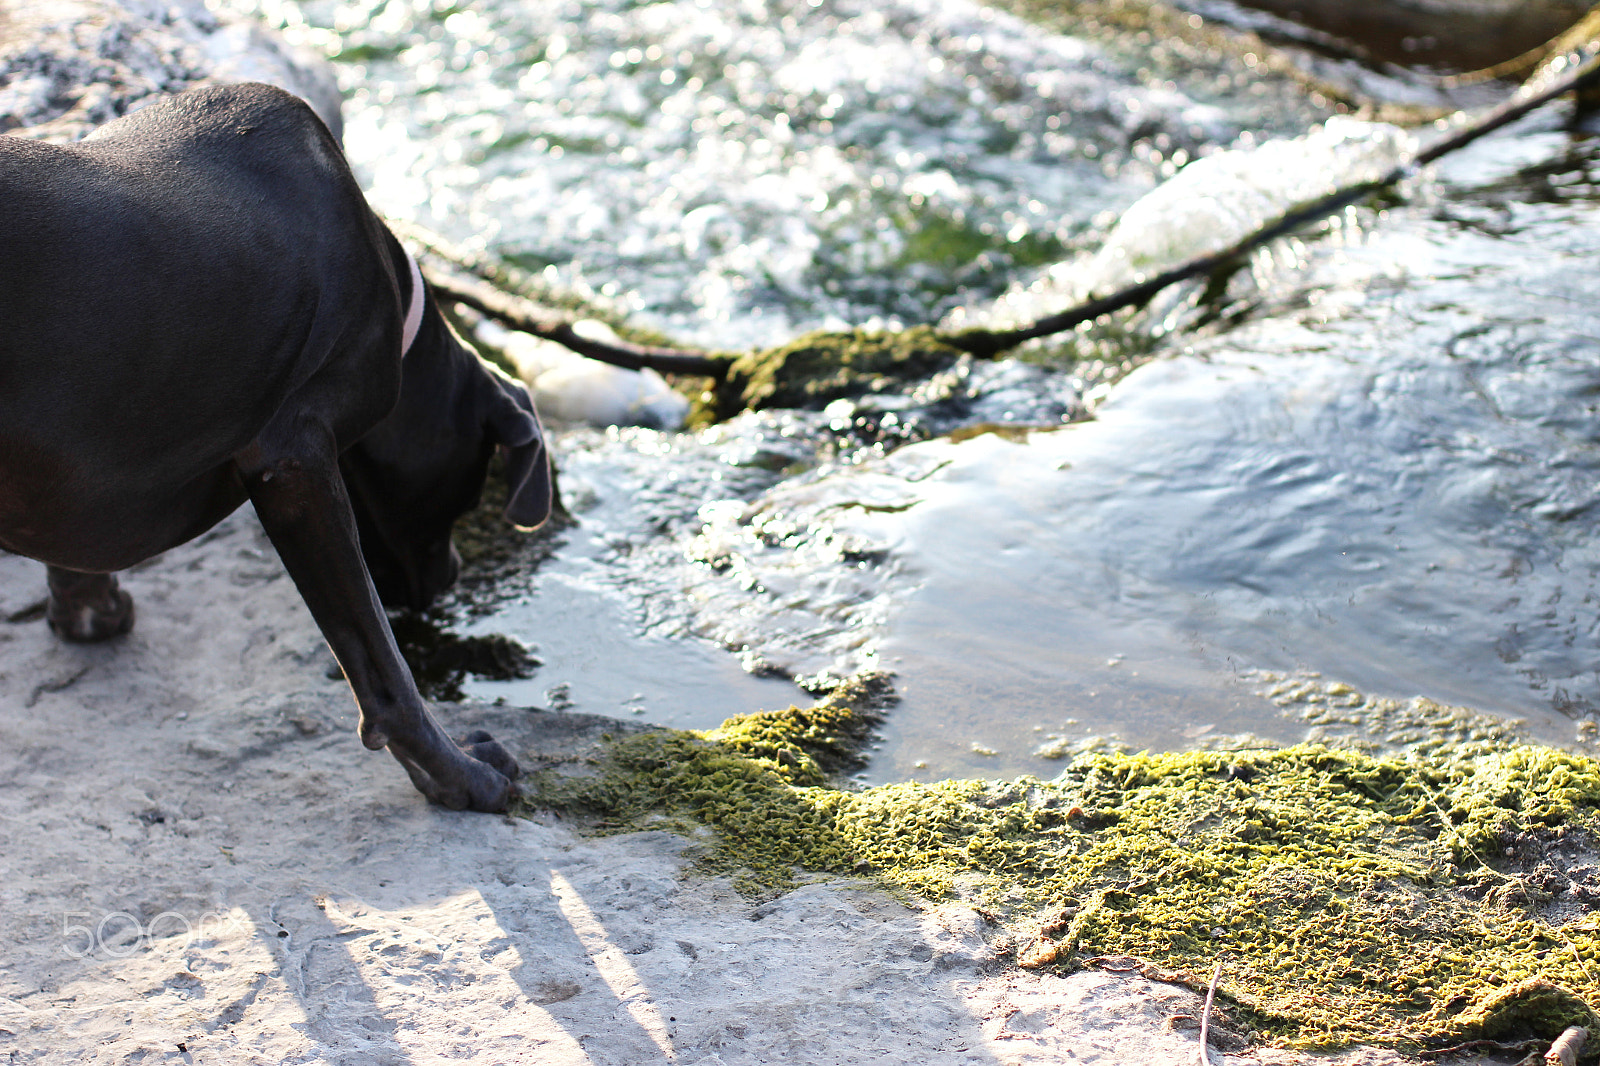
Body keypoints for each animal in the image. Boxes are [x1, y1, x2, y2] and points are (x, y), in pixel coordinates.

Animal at [0, 83, 550, 809]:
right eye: (466, 494)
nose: (454, 574)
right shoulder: (296, 461)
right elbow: (384, 670)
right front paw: (460, 776)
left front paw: (89, 609)